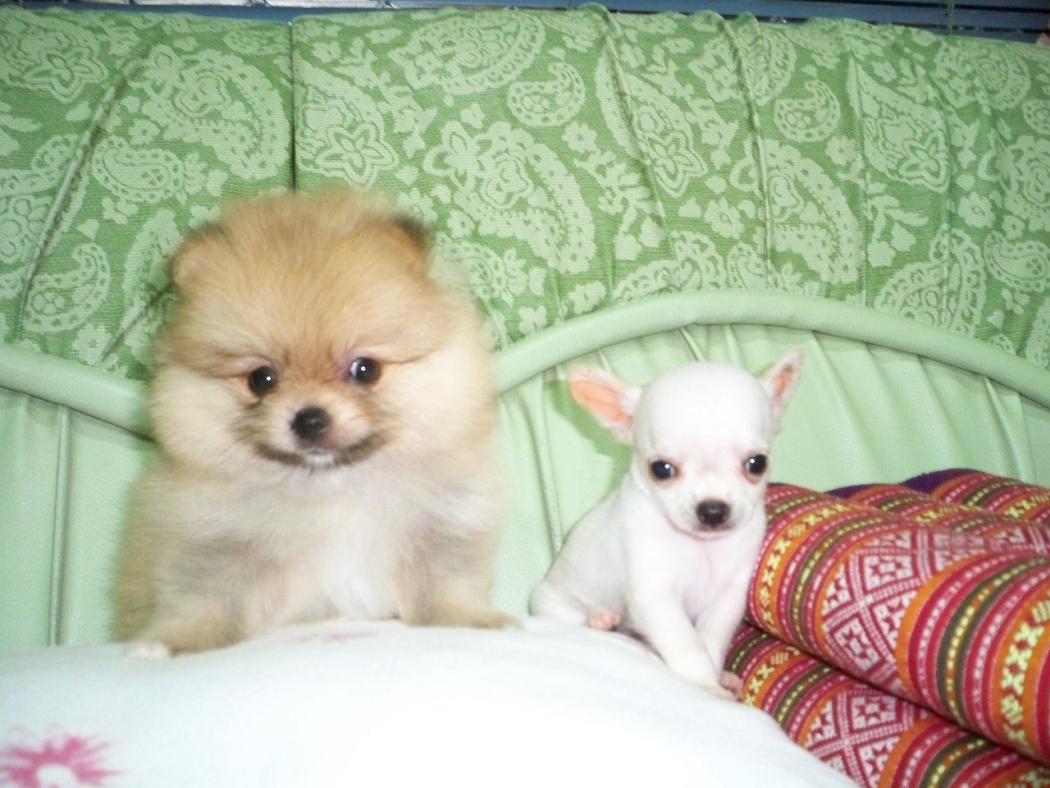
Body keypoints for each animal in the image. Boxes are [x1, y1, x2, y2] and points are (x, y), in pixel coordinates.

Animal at [117, 188, 512, 655]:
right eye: (261, 379)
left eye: (365, 370)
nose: (309, 419)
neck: (334, 487)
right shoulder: (216, 540)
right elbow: (206, 602)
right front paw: (177, 644)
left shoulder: (441, 527)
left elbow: (445, 587)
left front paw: (472, 622)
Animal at [529, 352, 802, 698]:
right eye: (661, 469)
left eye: (757, 464)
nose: (713, 509)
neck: (702, 546)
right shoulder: (655, 595)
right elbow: (686, 642)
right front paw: (705, 685)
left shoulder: (727, 598)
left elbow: (710, 642)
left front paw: (716, 676)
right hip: (551, 604)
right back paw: (600, 621)